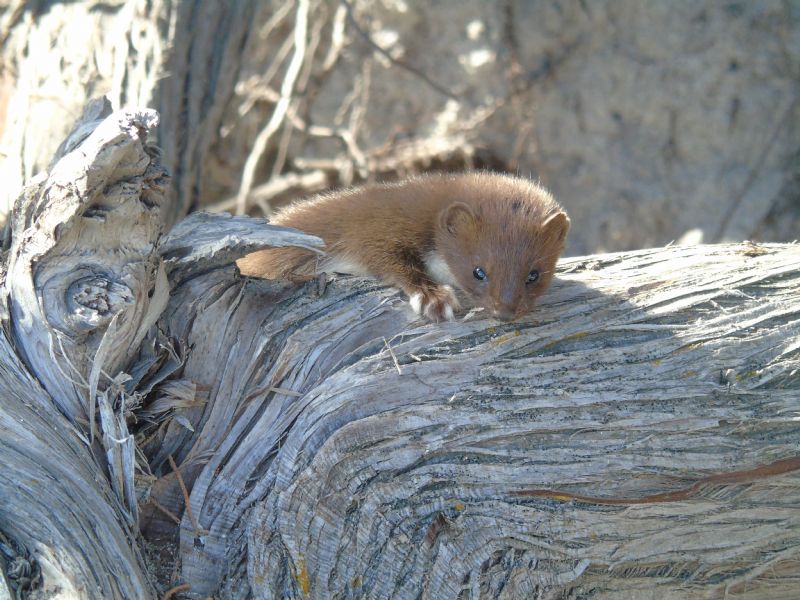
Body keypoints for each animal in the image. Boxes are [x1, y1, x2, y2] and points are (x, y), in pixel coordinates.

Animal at [238, 171, 568, 322]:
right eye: (478, 271)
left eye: (534, 274)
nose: (505, 312)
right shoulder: (375, 226)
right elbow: (386, 258)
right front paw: (434, 298)